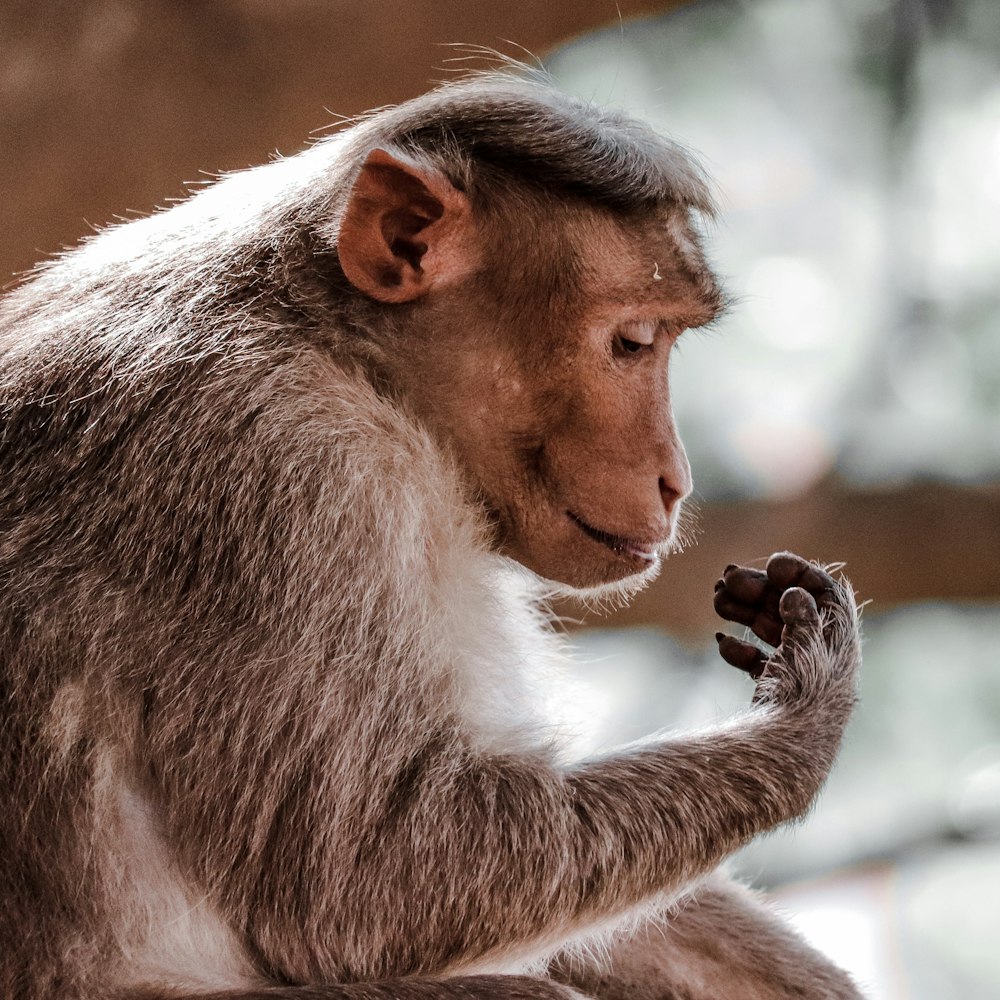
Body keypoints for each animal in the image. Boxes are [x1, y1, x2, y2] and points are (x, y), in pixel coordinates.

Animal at [0, 72, 864, 1000]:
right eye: (633, 343)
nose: (677, 479)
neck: (339, 349)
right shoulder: (282, 473)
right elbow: (371, 885)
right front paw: (806, 697)